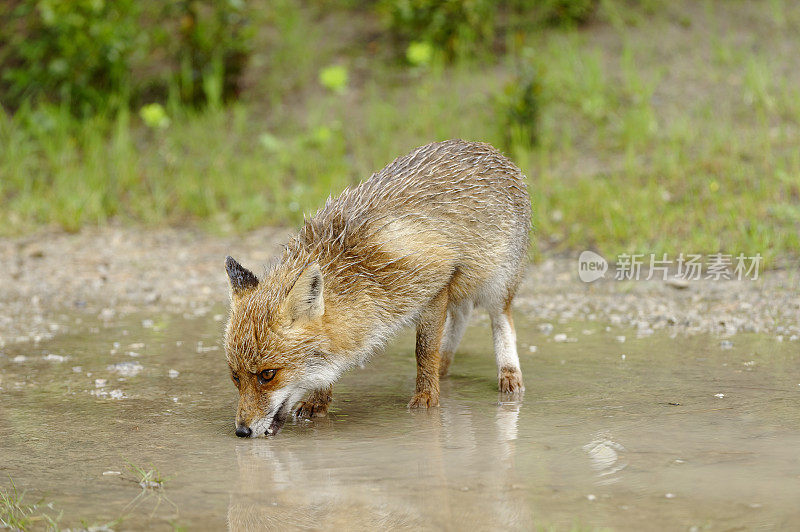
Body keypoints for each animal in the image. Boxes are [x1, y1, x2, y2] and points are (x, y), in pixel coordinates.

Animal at [223, 138, 532, 436]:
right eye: (235, 377)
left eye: (268, 374)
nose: (242, 431)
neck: (355, 268)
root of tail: (490, 149)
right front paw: (319, 401)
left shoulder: (435, 285)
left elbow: (424, 351)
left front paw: (426, 397)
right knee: (462, 316)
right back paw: (445, 367)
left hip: (497, 283)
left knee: (501, 320)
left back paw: (508, 373)